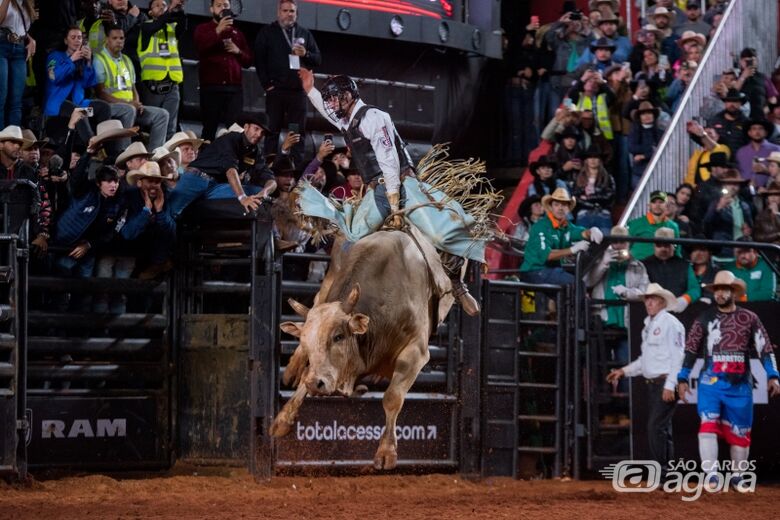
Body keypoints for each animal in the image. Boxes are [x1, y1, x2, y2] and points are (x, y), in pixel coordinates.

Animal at [272, 230, 454, 470]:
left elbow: (392, 397)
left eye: (338, 336)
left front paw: (386, 453)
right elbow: (306, 375)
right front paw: (282, 419)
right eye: (304, 339)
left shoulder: (416, 352)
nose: (315, 384)